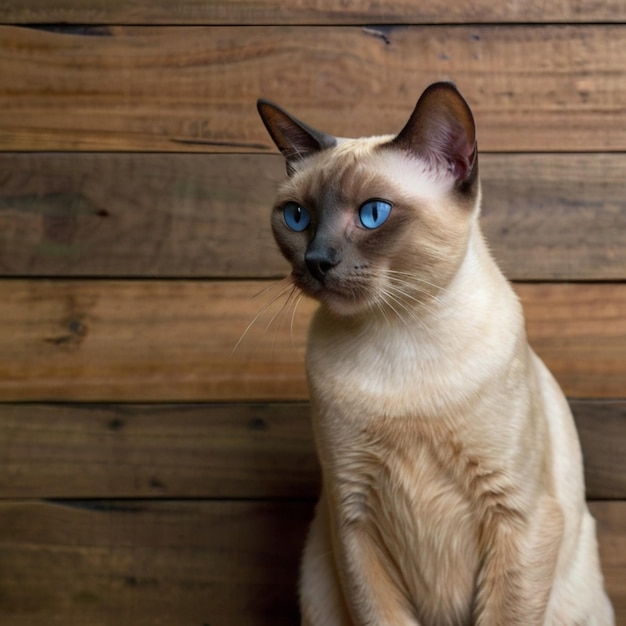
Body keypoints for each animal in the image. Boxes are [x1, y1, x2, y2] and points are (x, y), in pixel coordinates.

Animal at [256, 83, 612, 624]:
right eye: (297, 217)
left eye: (373, 214)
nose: (316, 261)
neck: (400, 330)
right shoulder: (352, 520)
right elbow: (379, 614)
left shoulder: (519, 515)